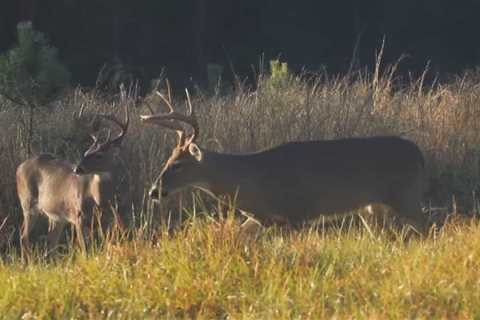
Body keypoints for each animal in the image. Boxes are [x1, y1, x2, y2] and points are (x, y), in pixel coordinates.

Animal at [16, 102, 129, 255]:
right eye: (86, 152)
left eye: (99, 155)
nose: (77, 169)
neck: (97, 199)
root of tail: (19, 167)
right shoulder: (78, 215)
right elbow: (84, 248)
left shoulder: (107, 217)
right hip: (27, 203)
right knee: (24, 236)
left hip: (56, 215)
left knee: (51, 240)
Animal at [141, 89, 430, 234]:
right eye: (168, 159)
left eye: (178, 164)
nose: (154, 191)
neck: (251, 181)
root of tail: (419, 153)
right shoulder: (265, 219)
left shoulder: (298, 212)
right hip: (373, 207)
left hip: (405, 195)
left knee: (426, 229)